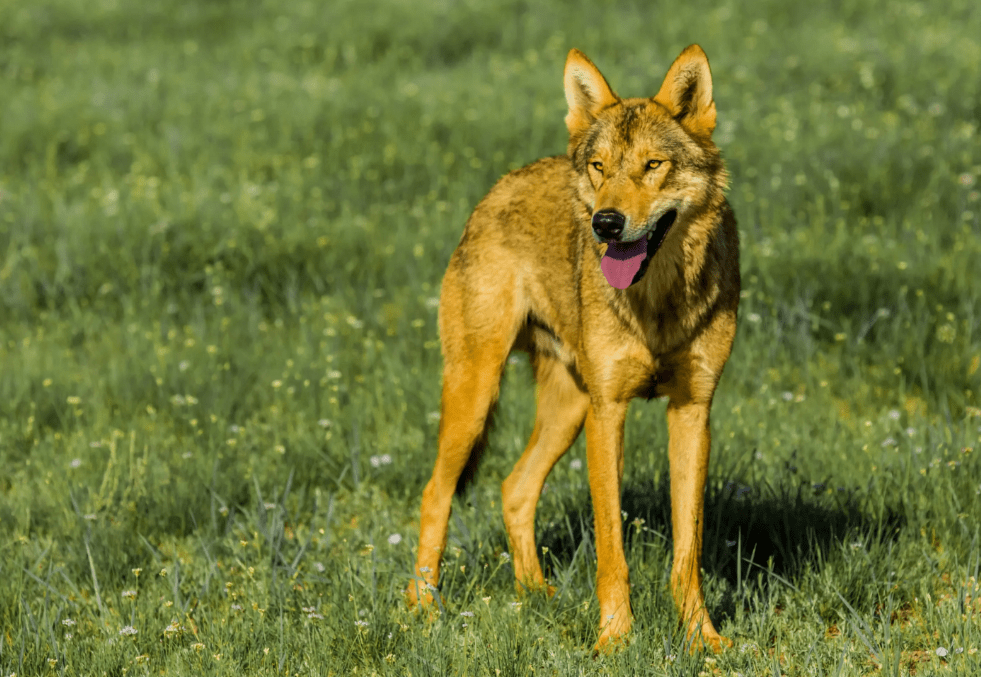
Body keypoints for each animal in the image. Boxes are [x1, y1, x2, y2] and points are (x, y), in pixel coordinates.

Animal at [404, 45, 736, 652]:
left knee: (513, 487)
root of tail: (499, 186)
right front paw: (614, 640)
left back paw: (536, 593)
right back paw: (423, 610)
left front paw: (705, 640)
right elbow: (612, 550)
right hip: (477, 394)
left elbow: (687, 552)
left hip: (567, 411)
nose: (606, 223)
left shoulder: (693, 410)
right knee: (435, 492)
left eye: (653, 165)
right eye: (600, 167)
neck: (657, 302)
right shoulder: (610, 413)